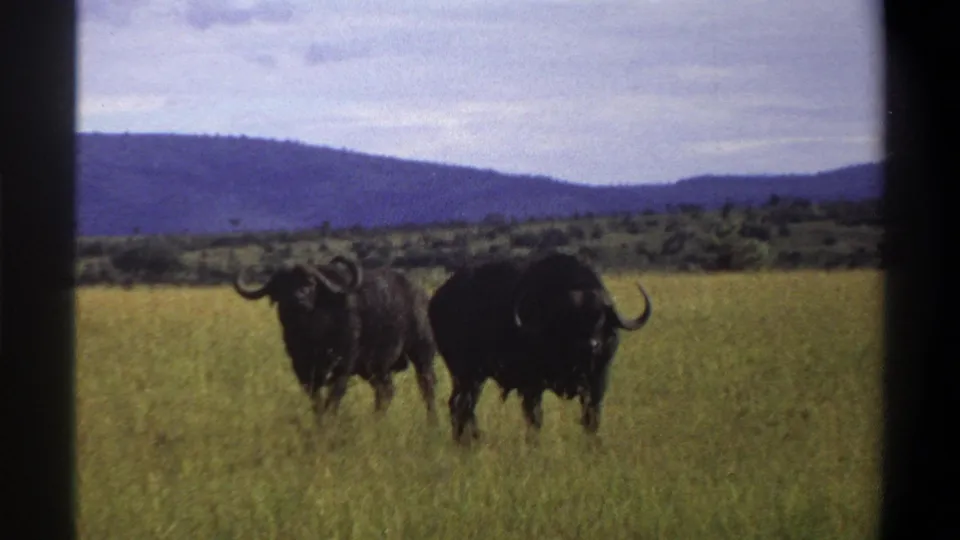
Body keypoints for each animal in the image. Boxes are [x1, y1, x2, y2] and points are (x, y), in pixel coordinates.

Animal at [234, 256, 438, 423]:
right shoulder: (303, 369)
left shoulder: (343, 367)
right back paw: (377, 420)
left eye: (311, 283)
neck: (313, 335)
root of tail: (422, 296)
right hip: (375, 368)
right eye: (282, 285)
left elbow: (333, 399)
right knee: (385, 391)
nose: (297, 299)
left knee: (426, 387)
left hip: (421, 353)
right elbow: (316, 401)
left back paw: (432, 423)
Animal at [427, 252, 652, 444]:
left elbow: (592, 417)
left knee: (461, 406)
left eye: (601, 317)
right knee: (461, 406)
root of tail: (437, 300)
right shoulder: (531, 385)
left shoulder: (598, 382)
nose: (590, 346)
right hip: (467, 375)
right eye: (569, 317)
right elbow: (535, 418)